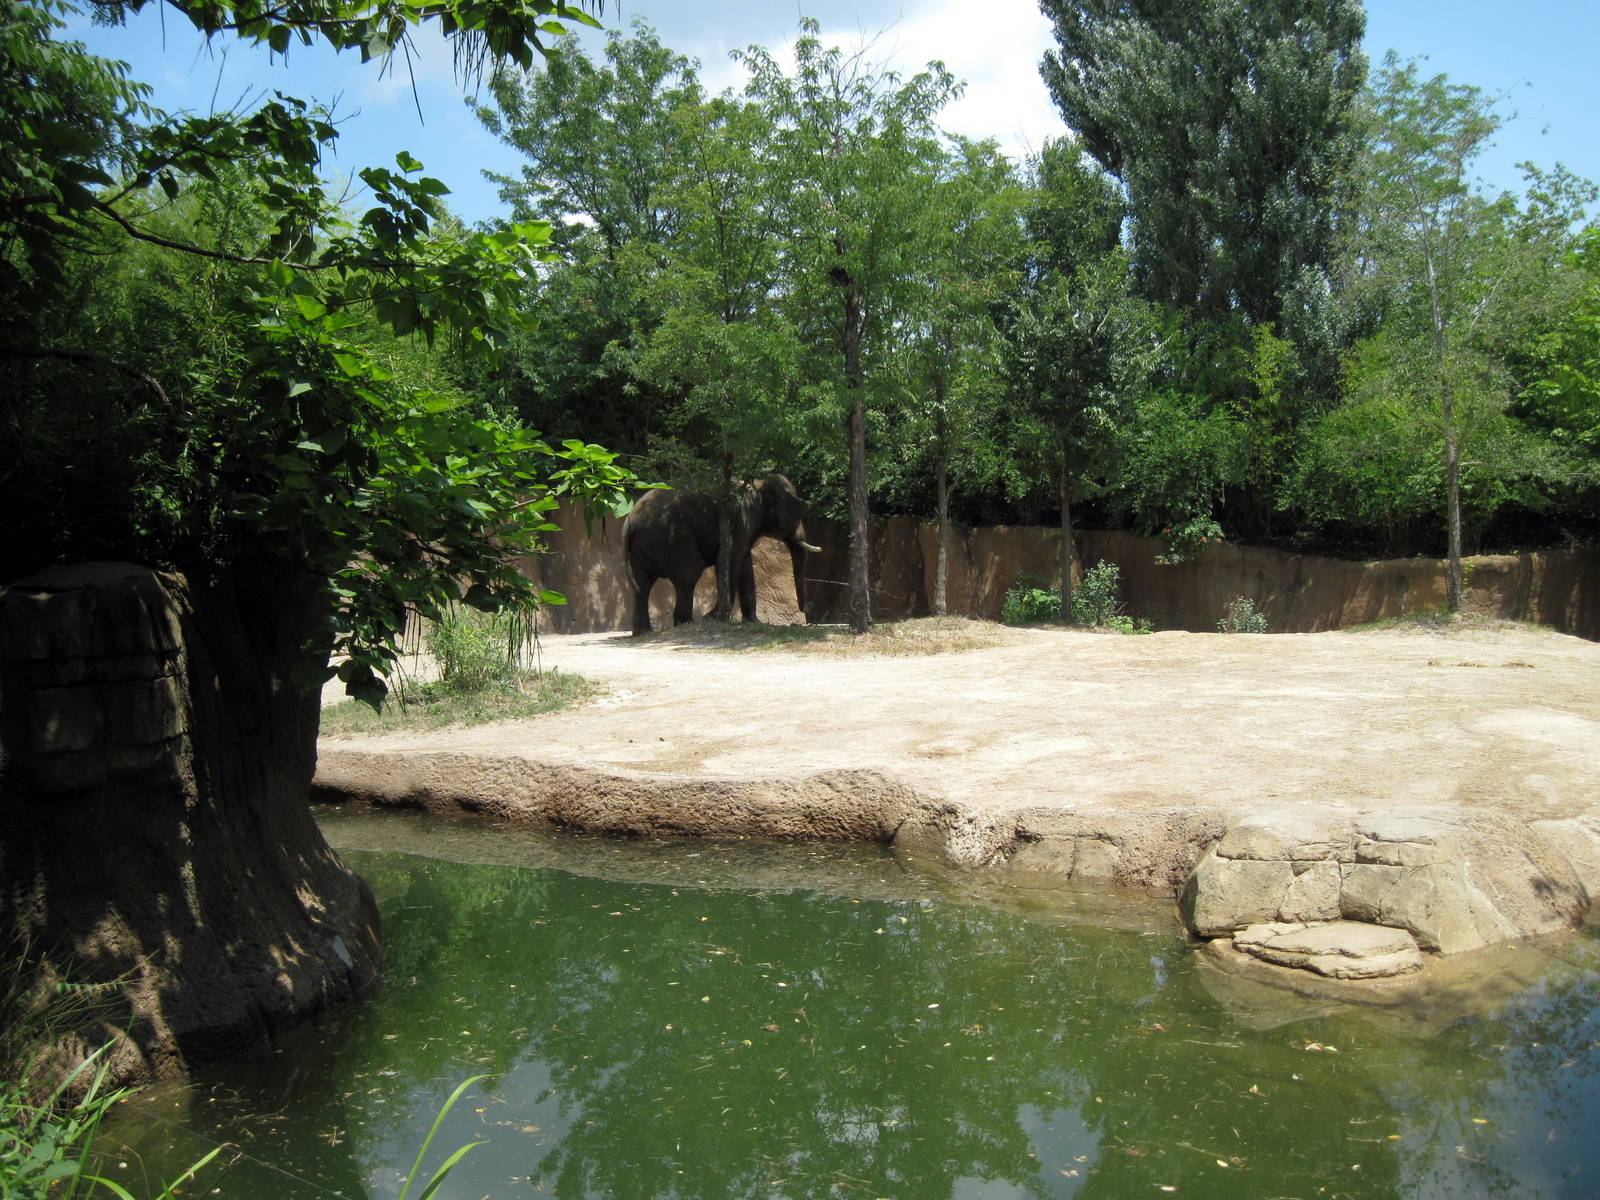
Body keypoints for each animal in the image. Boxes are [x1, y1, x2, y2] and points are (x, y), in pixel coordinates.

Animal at [622, 474, 821, 635]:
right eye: (797, 516)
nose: (809, 607)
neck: (761, 480)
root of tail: (631, 520)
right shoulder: (739, 518)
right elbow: (729, 560)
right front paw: (712, 618)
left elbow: (744, 563)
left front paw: (753, 622)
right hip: (672, 537)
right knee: (689, 573)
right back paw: (687, 624)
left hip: (642, 547)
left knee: (641, 583)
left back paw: (643, 632)